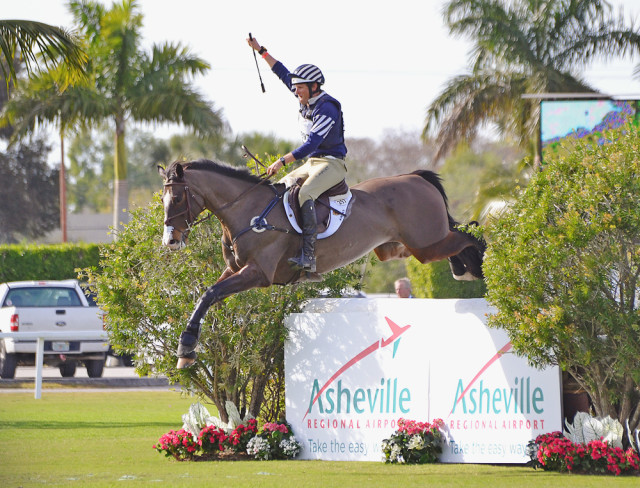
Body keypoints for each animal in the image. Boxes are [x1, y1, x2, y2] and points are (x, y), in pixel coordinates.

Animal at [158, 158, 482, 368]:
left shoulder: (258, 273)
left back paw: (475, 268)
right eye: (163, 199)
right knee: (458, 237)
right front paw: (187, 348)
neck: (248, 210)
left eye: (177, 198)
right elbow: (207, 295)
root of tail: (415, 177)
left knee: (469, 234)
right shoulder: (235, 270)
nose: (170, 240)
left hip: (427, 244)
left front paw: (186, 346)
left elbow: (211, 293)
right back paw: (463, 269)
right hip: (402, 248)